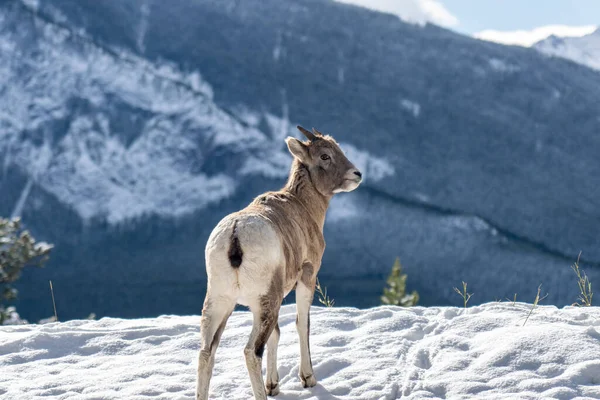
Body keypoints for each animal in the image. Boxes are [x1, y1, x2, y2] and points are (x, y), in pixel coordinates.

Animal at [199, 124, 364, 396]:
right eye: (325, 156)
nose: (357, 174)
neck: (304, 206)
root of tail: (235, 236)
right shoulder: (307, 276)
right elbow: (302, 323)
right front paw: (308, 379)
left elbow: (277, 334)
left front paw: (273, 386)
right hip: (264, 302)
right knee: (251, 351)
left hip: (220, 302)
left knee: (206, 352)